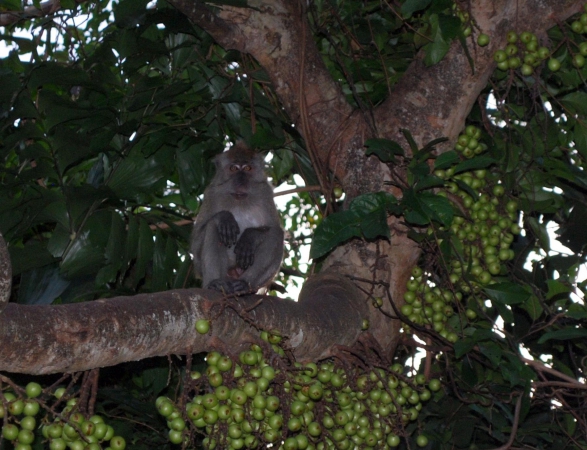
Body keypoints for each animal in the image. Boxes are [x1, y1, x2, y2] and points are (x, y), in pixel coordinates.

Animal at [191, 142, 284, 296]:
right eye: (233, 168)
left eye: (247, 168)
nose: (241, 181)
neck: (239, 199)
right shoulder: (211, 193)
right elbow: (196, 241)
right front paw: (225, 218)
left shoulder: (265, 192)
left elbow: (274, 227)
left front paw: (250, 236)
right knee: (213, 226)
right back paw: (215, 283)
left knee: (277, 234)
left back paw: (244, 285)